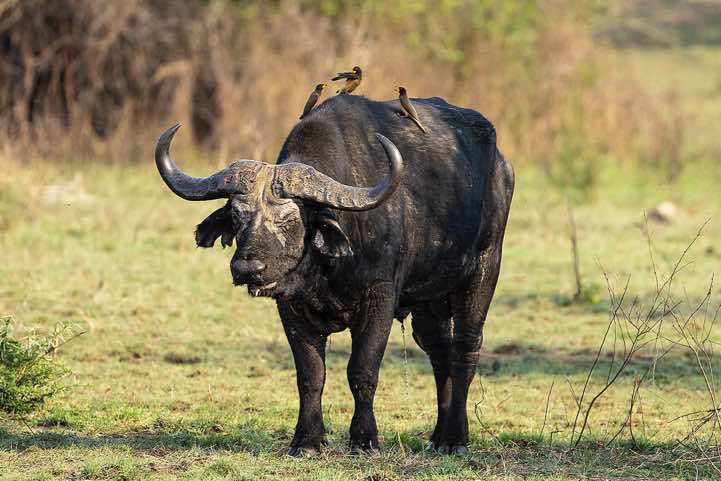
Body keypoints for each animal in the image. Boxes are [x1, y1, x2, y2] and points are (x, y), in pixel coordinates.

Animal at [154, 94, 514, 455]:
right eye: (238, 216)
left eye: (289, 219)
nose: (247, 269)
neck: (327, 267)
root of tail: (501, 164)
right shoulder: (291, 308)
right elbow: (310, 374)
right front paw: (307, 440)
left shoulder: (380, 297)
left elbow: (362, 370)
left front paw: (364, 439)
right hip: (429, 301)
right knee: (439, 352)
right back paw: (439, 436)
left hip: (483, 273)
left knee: (465, 349)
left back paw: (456, 438)